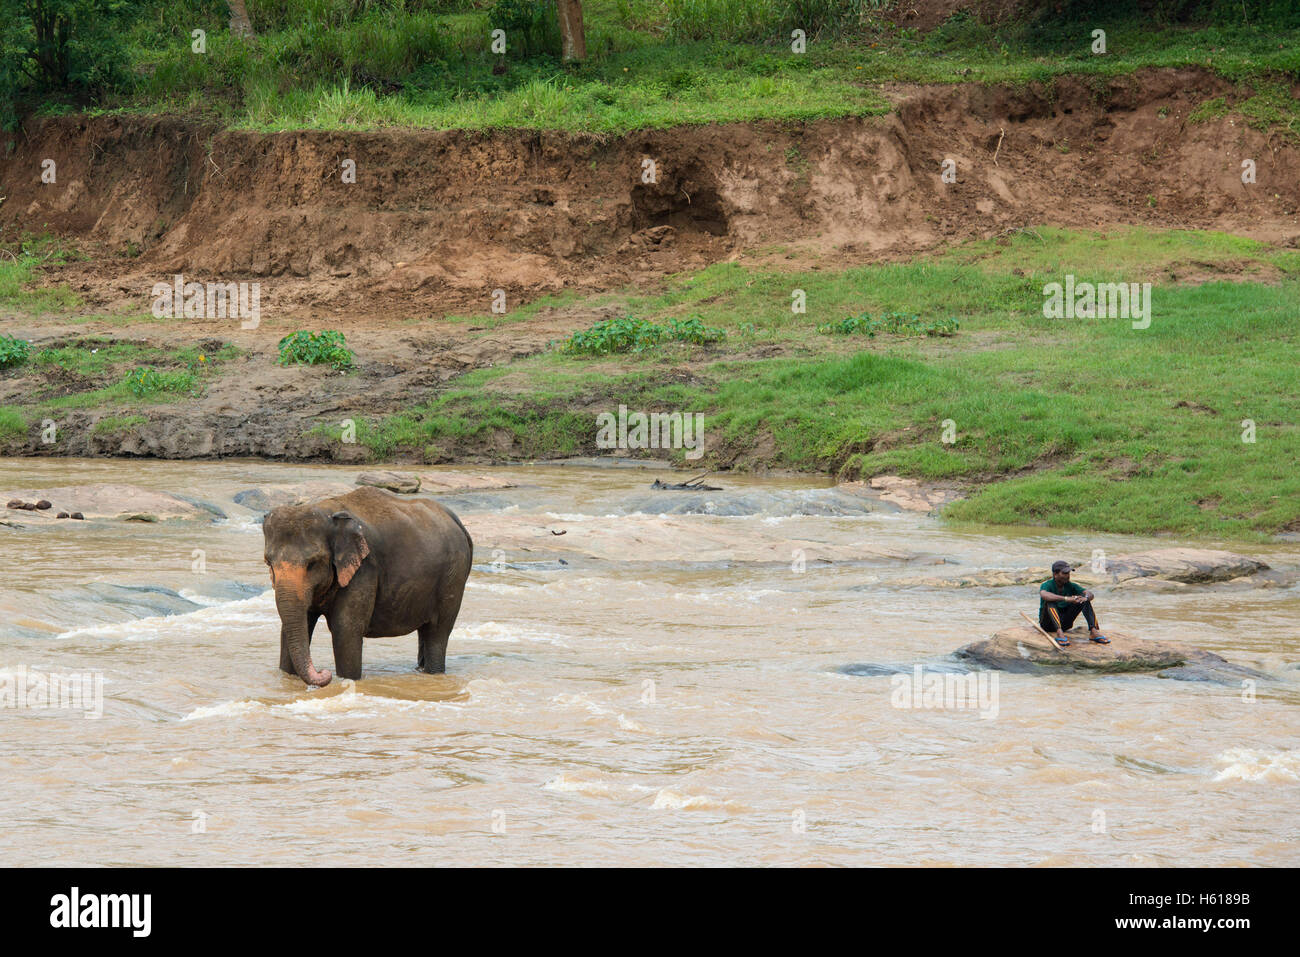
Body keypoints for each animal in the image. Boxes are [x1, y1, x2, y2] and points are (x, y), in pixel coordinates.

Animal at [262, 486, 473, 687]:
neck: (328, 512)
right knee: (426, 630)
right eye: (268, 562)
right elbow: (295, 627)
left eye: (313, 563)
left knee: (438, 632)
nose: (324, 672)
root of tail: (456, 521)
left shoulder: (365, 569)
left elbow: (345, 629)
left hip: (452, 578)